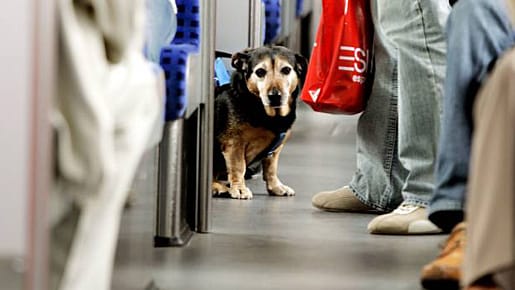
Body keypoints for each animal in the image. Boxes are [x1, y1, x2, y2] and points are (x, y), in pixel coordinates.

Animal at [213, 46, 308, 199]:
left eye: (286, 70)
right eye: (260, 72)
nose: (275, 96)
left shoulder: (275, 150)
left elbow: (271, 169)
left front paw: (276, 187)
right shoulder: (234, 144)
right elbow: (238, 167)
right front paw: (239, 188)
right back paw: (217, 187)